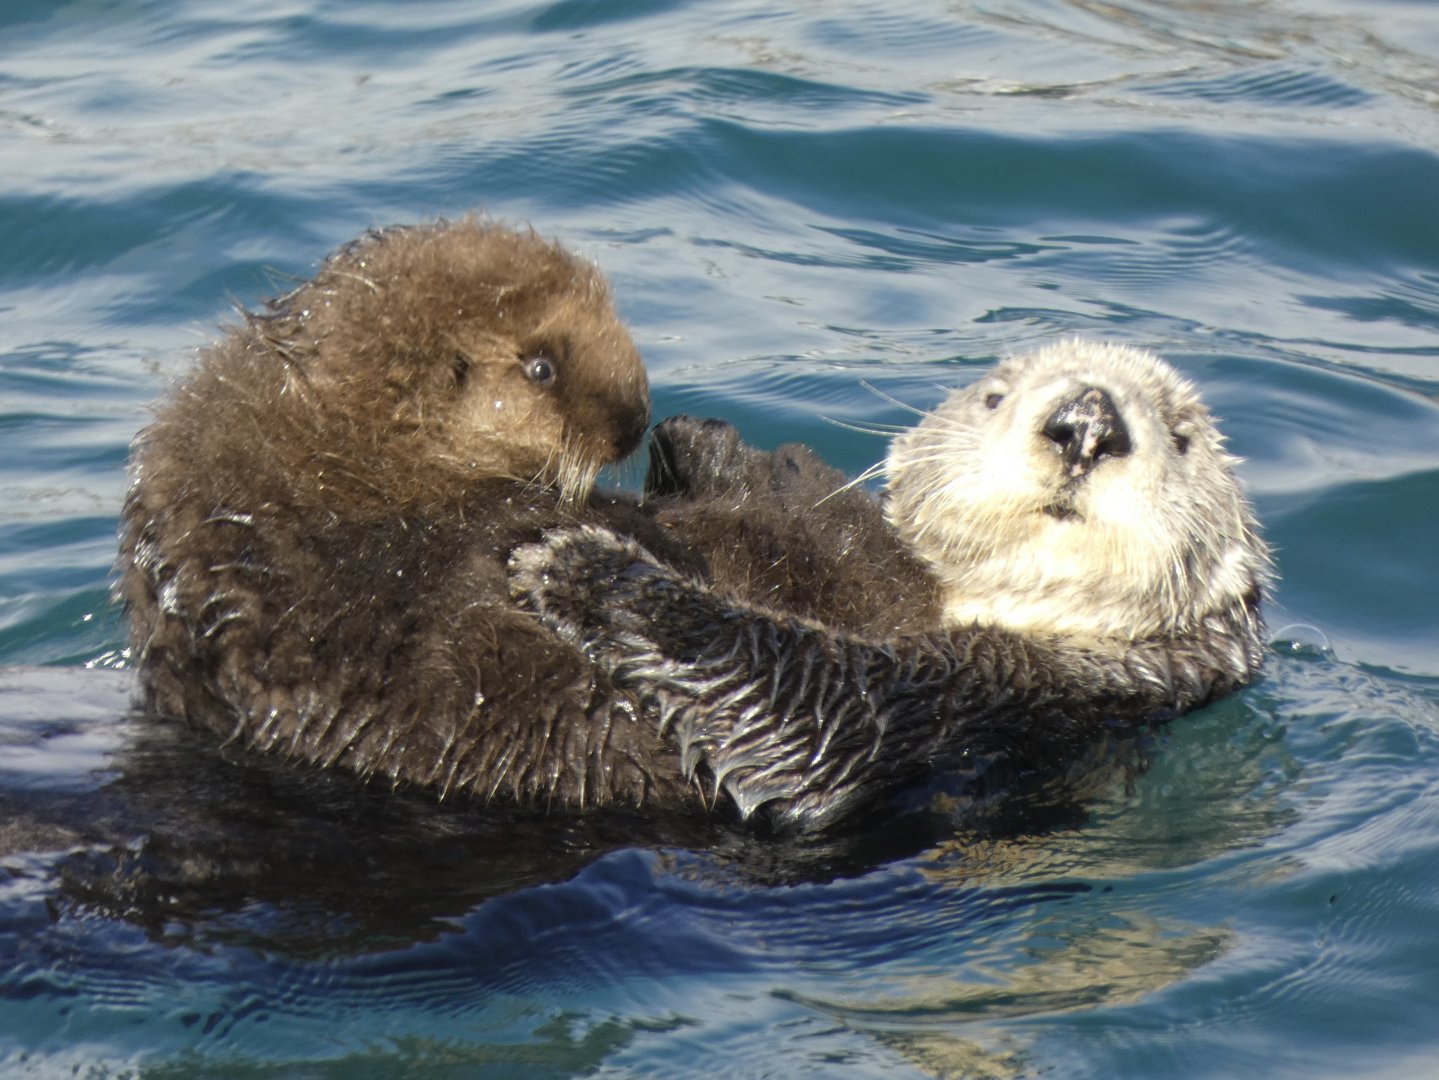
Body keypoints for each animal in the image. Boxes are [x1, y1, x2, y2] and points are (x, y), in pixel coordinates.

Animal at [510, 341, 1272, 832]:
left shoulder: (998, 692)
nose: (1087, 421)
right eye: (994, 397)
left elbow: (806, 706)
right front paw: (707, 444)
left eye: (1181, 437)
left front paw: (588, 570)